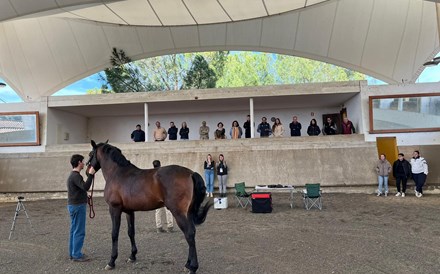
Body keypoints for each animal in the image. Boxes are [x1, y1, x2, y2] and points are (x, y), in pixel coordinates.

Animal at [85, 140, 211, 272]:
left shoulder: (114, 209)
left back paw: (193, 267)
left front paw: (111, 261)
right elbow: (131, 232)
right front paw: (132, 256)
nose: (87, 171)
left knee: (189, 234)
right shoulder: (129, 211)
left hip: (178, 213)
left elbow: (114, 234)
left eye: (90, 154)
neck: (117, 173)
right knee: (191, 233)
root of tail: (191, 173)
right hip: (188, 213)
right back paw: (187, 264)